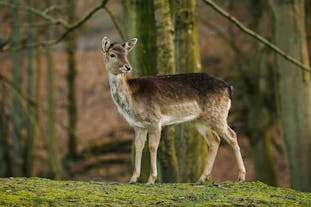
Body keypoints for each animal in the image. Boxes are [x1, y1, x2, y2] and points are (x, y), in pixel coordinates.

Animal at [101, 36, 247, 184]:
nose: (128, 67)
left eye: (126, 53)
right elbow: (138, 147)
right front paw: (133, 179)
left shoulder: (154, 119)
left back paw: (241, 177)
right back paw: (201, 179)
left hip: (218, 114)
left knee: (232, 135)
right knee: (214, 140)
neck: (132, 98)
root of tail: (229, 88)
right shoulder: (138, 125)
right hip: (200, 120)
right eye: (112, 54)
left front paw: (151, 179)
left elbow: (152, 146)